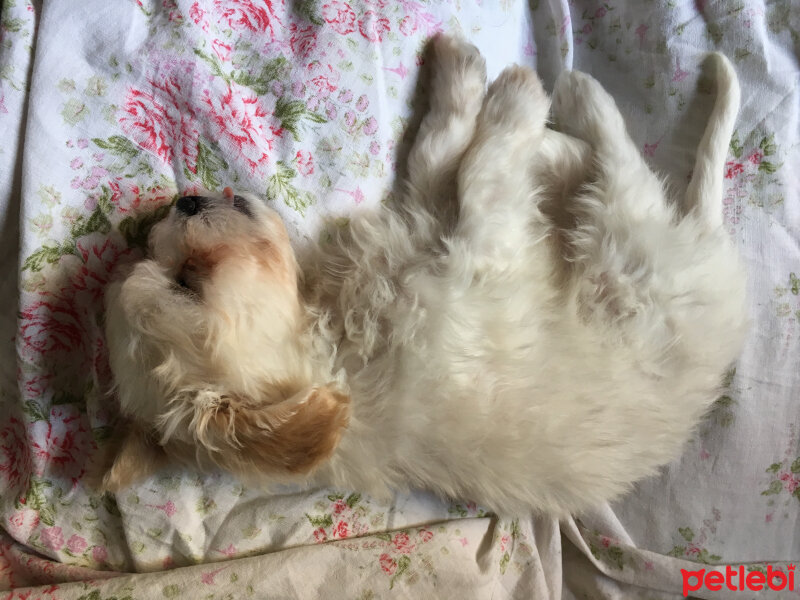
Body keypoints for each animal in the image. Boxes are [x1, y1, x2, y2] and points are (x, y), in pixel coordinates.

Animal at [103, 36, 748, 516]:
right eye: (188, 281)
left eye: (175, 267)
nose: (182, 202)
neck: (332, 346)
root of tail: (713, 258)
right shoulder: (476, 257)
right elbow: (481, 171)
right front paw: (514, 102)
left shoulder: (422, 226)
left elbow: (439, 155)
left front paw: (459, 76)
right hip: (627, 257)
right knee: (619, 166)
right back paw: (572, 99)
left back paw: (557, 138)